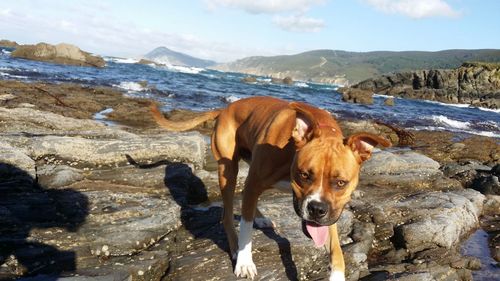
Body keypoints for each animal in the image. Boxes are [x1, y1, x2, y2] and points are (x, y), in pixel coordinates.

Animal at [150, 97, 388, 280]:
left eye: (340, 183)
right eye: (304, 175)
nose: (316, 209)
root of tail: (226, 108)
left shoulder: (331, 214)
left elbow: (337, 250)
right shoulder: (255, 182)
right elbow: (245, 228)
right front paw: (245, 262)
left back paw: (261, 217)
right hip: (228, 170)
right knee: (228, 214)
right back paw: (235, 248)